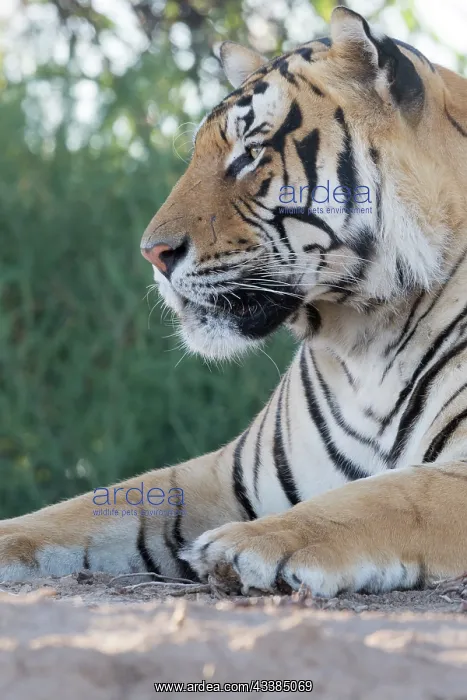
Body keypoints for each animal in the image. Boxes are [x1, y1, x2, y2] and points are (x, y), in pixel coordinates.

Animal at [2, 6, 467, 598]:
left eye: (250, 154)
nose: (152, 253)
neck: (366, 336)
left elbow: (390, 495)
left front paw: (248, 546)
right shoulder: (225, 473)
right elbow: (86, 507)